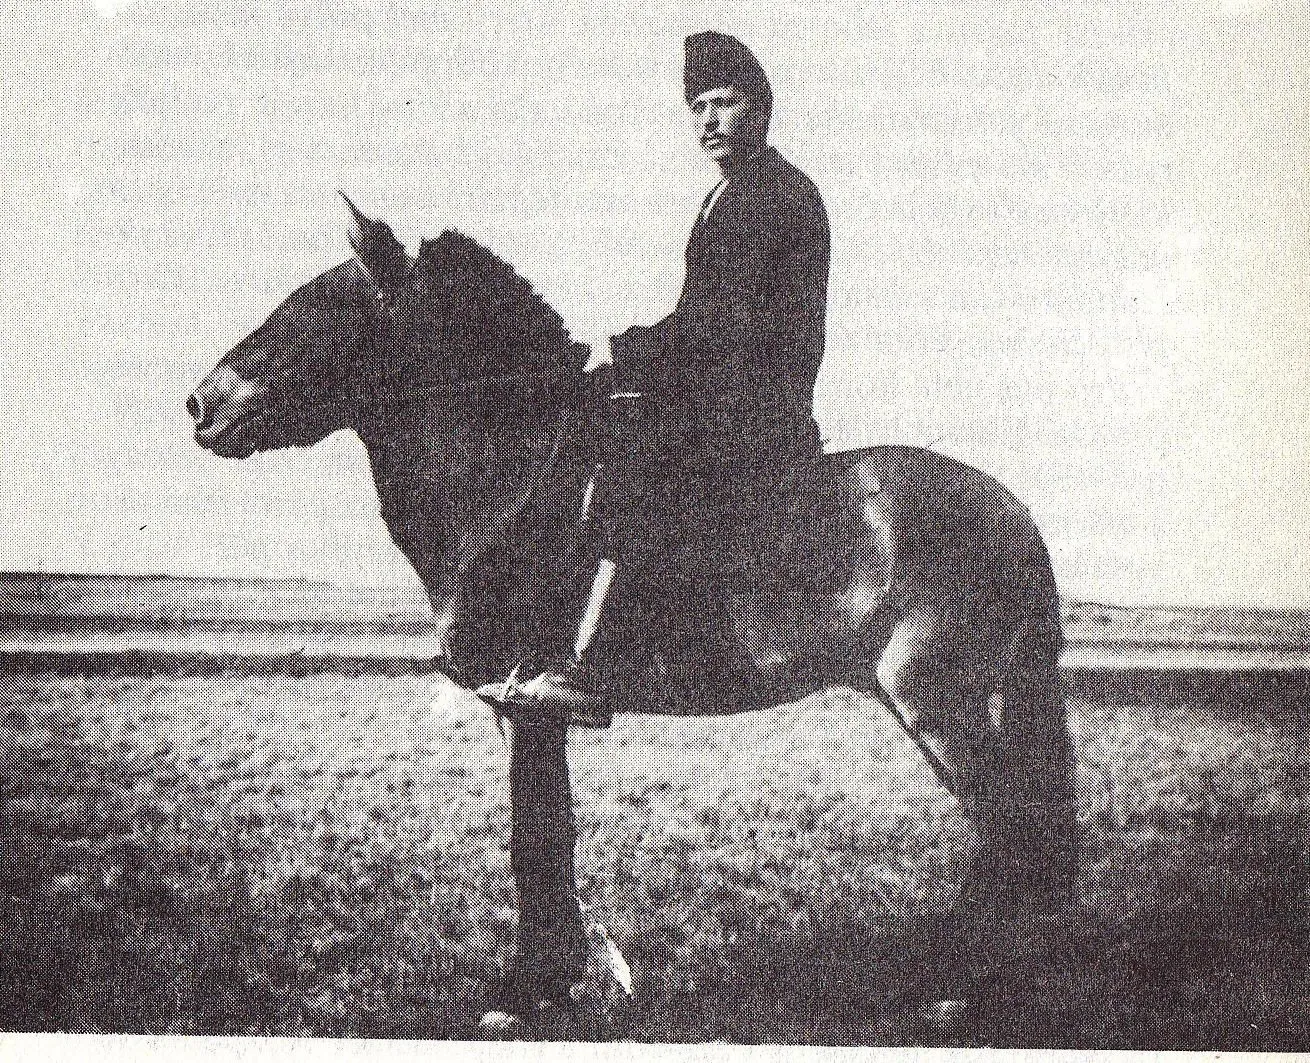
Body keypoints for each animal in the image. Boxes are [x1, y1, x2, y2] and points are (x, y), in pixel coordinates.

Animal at [188, 199, 1079, 1031]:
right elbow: (547, 830)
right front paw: (551, 979)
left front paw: (525, 989)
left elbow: (536, 838)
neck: (512, 477)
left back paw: (960, 990)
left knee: (1015, 830)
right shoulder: (522, 708)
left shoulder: (530, 696)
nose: (199, 404)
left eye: (314, 309)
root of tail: (1015, 510)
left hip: (938, 701)